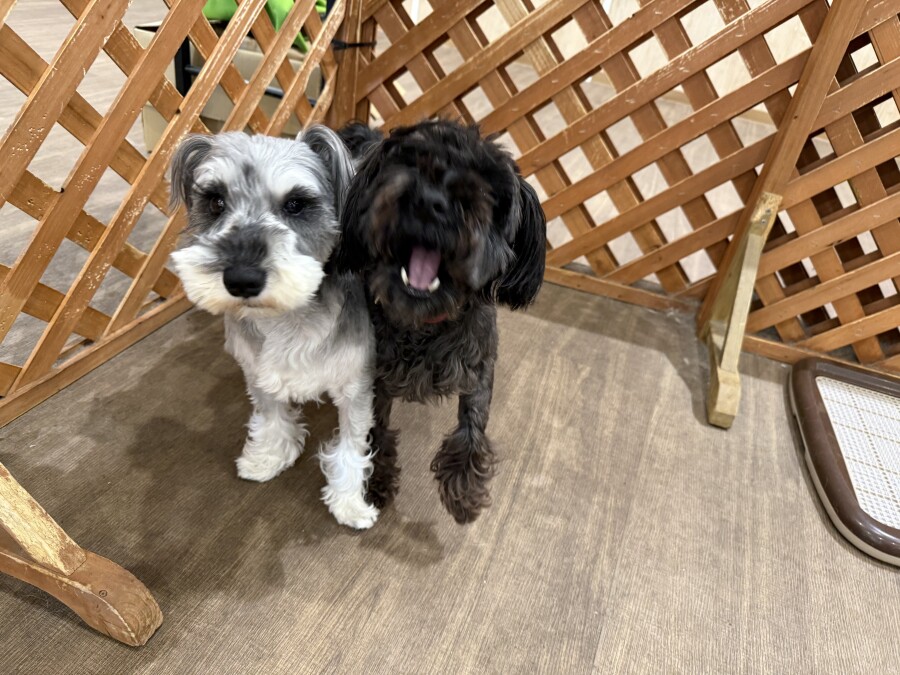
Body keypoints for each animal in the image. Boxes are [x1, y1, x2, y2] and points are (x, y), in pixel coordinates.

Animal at [168, 127, 379, 529]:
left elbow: (351, 443)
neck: (285, 317)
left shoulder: (354, 385)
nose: (242, 280)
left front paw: (349, 502)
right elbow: (271, 416)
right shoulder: (258, 372)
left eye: (296, 204)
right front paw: (267, 456)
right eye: (215, 201)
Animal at [334, 119, 547, 524]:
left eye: (490, 189)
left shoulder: (479, 365)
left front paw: (463, 490)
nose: (432, 202)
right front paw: (375, 479)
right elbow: (374, 426)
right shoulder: (375, 377)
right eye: (410, 160)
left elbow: (473, 424)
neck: (423, 324)